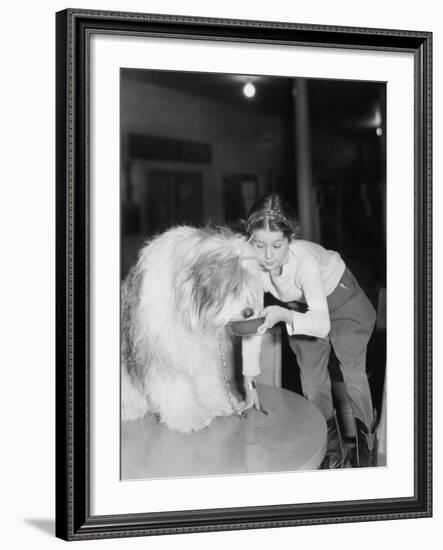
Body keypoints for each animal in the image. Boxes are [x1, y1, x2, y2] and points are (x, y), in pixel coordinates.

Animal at [120, 226, 264, 434]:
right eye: (233, 287)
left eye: (247, 286)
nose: (249, 312)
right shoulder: (163, 354)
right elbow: (175, 388)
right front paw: (190, 417)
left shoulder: (203, 354)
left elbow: (209, 382)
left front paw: (220, 405)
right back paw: (130, 410)